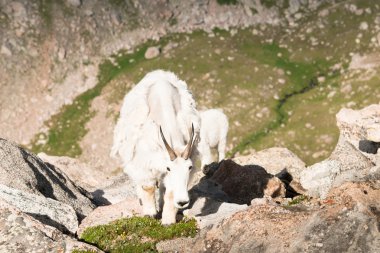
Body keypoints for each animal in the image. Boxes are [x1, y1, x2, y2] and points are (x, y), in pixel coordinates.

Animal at [110, 69, 200, 225]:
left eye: (189, 167)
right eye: (169, 168)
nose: (182, 202)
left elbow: (170, 192)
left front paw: (168, 220)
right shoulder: (145, 161)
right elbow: (148, 187)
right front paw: (150, 214)